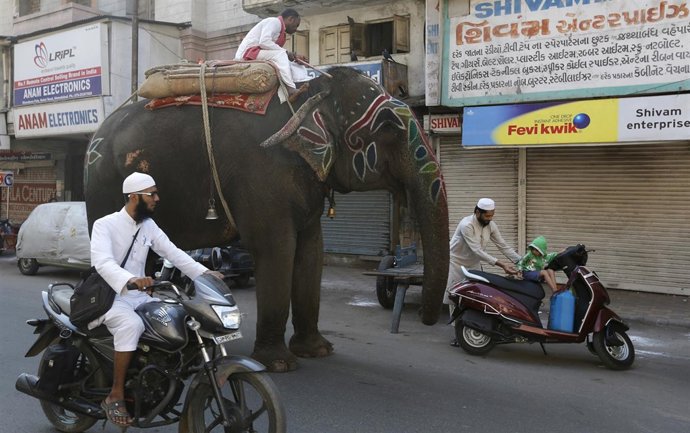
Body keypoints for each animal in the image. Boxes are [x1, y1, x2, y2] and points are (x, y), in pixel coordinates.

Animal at [84, 66, 449, 372]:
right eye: (387, 127)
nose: (427, 318)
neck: (308, 93)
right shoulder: (262, 173)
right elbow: (277, 249)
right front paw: (279, 364)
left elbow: (311, 252)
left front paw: (317, 351)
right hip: (103, 185)